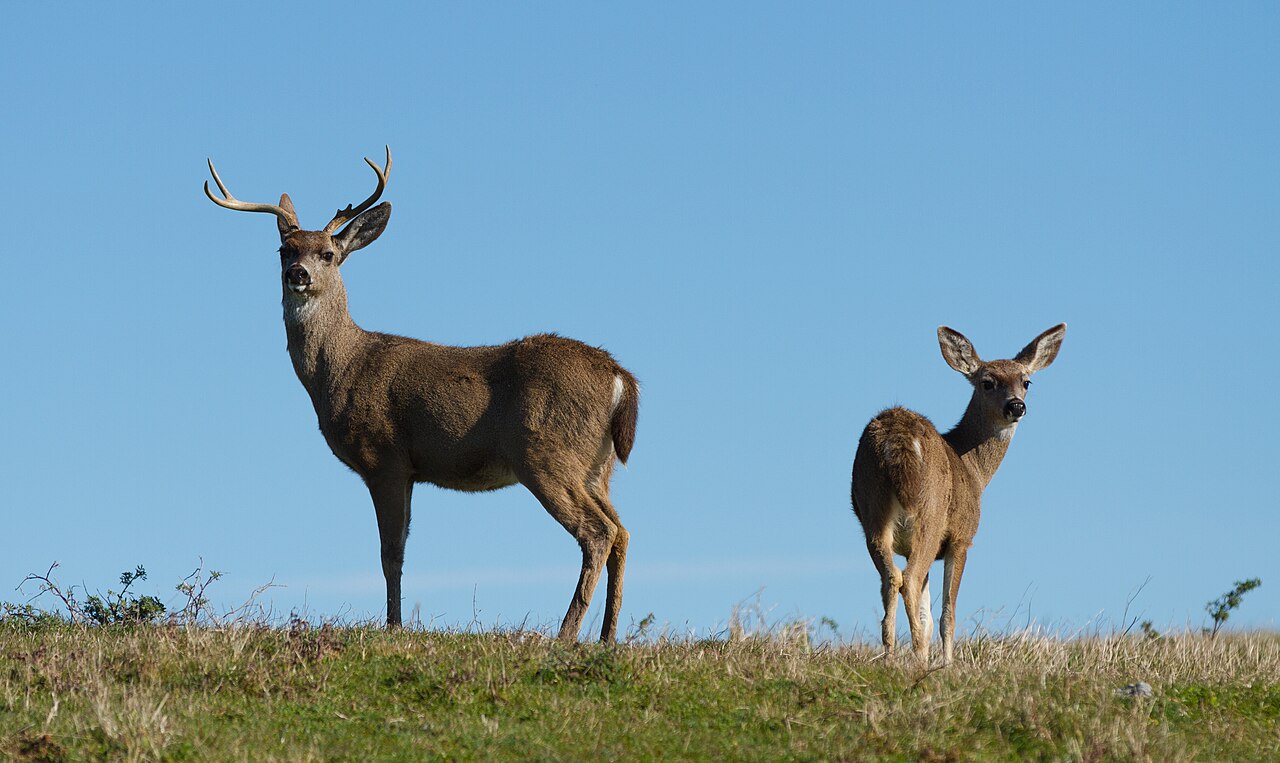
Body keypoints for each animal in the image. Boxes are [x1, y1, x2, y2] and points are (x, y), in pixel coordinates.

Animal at [203, 147, 640, 641]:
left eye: (328, 254)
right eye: (284, 250)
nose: (298, 274)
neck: (343, 369)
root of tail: (620, 378)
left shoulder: (385, 456)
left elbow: (390, 552)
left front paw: (392, 626)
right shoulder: (411, 470)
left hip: (546, 451)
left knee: (598, 532)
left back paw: (564, 635)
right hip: (597, 466)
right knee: (623, 531)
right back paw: (606, 636)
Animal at [850, 324, 1065, 665]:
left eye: (1026, 381)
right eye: (987, 382)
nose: (1016, 406)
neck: (975, 472)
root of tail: (896, 439)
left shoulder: (907, 545)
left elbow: (926, 611)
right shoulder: (962, 537)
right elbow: (947, 612)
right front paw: (947, 664)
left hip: (871, 509)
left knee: (891, 578)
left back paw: (890, 656)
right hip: (930, 512)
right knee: (908, 579)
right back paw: (917, 658)